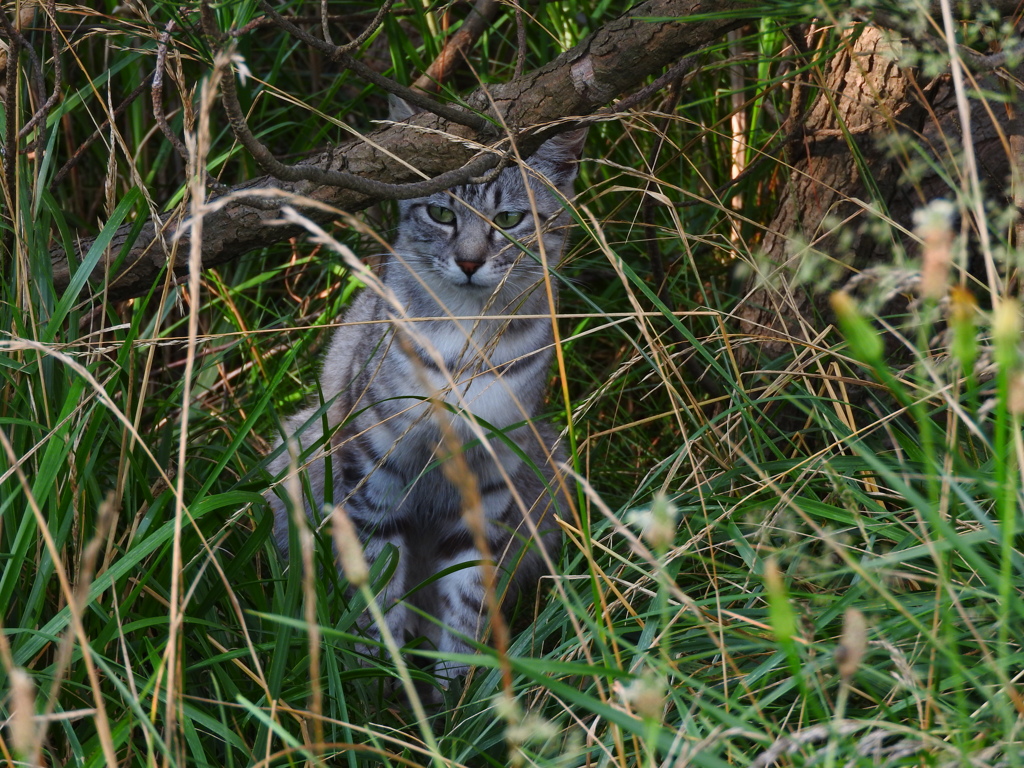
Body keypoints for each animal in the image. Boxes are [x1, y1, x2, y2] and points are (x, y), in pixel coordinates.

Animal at [264, 103, 585, 684]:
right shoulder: (373, 471)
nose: (469, 262)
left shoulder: (491, 478)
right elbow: (376, 590)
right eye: (441, 213)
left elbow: (468, 597)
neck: (465, 340)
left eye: (509, 221)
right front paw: (383, 682)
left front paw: (455, 690)